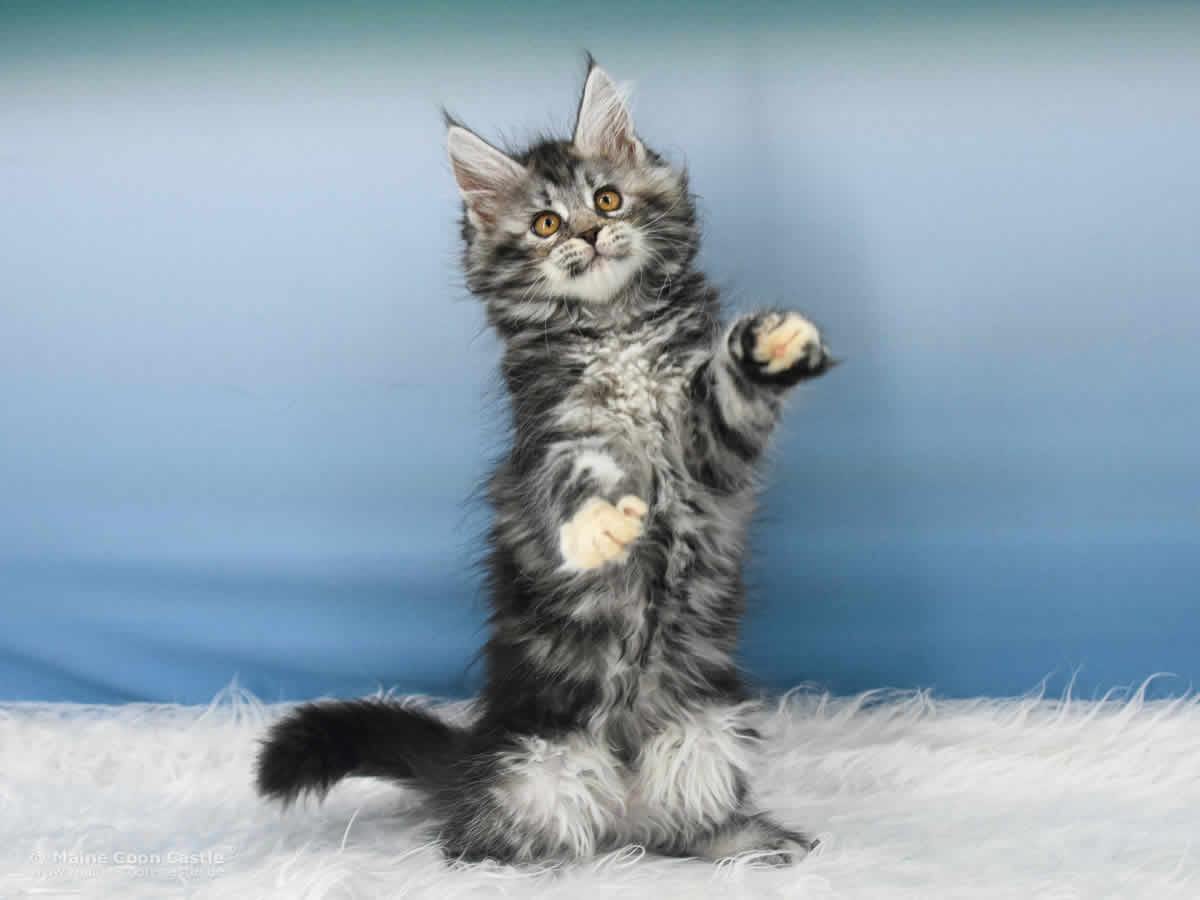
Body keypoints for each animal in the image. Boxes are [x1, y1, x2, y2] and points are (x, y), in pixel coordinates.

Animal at [255, 57, 834, 866]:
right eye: (547, 224)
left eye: (607, 198)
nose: (589, 232)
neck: (614, 327)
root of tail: (622, 801)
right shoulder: (555, 438)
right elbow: (577, 488)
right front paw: (600, 530)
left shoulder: (705, 456)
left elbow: (727, 391)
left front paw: (768, 346)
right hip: (533, 768)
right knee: (485, 835)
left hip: (708, 734)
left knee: (685, 824)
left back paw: (752, 843)